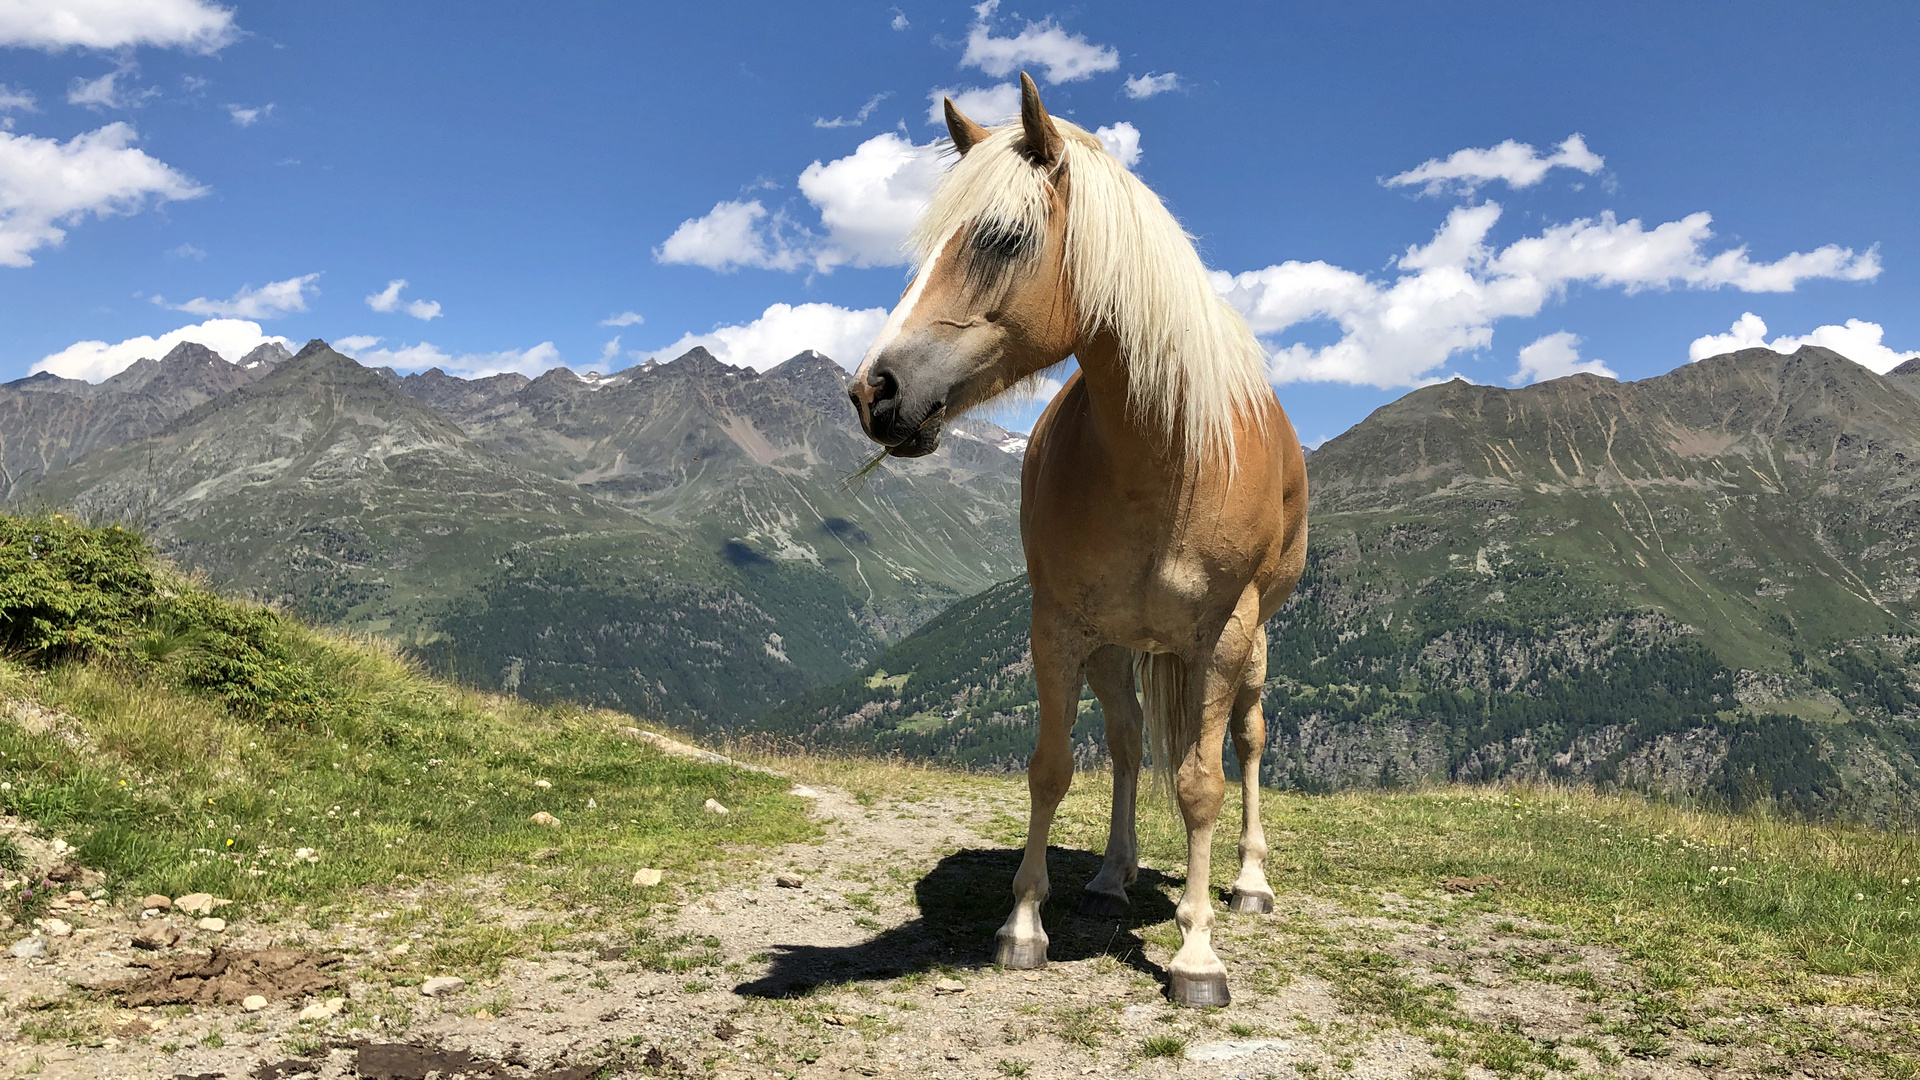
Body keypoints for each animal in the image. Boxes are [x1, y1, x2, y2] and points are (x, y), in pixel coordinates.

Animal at [848, 73, 1313, 999]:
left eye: (1003, 237)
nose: (872, 391)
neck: (1161, 458)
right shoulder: (1059, 625)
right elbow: (1052, 766)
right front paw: (1025, 923)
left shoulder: (1222, 634)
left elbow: (1201, 783)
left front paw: (1196, 954)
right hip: (1115, 645)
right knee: (1129, 744)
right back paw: (1109, 876)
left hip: (1253, 643)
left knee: (1246, 743)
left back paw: (1247, 881)